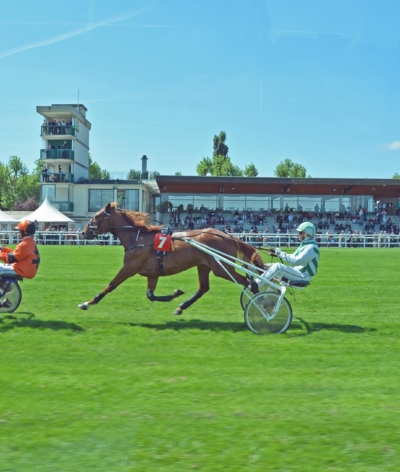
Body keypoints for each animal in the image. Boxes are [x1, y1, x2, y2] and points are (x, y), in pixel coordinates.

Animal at [79, 202, 264, 316]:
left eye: (96, 216)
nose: (83, 233)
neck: (138, 239)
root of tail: (227, 235)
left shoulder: (129, 268)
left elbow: (110, 286)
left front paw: (87, 302)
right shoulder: (152, 273)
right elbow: (150, 295)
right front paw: (175, 294)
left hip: (221, 267)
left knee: (249, 282)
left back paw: (263, 305)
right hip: (204, 265)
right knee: (203, 288)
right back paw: (180, 307)